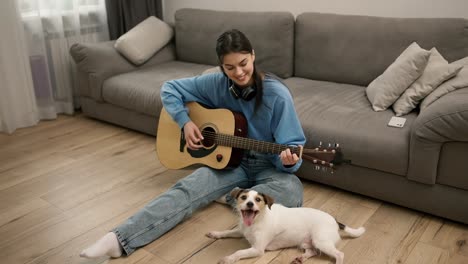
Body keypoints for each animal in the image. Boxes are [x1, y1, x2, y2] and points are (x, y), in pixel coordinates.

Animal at [207, 189, 366, 262]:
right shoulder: (241, 231)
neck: (257, 220)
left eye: (258, 199)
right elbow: (227, 232)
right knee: (313, 252)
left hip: (321, 241)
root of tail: (334, 220)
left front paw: (228, 259)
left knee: (339, 254)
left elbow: (239, 252)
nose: (250, 204)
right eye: (244, 197)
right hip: (306, 243)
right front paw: (215, 234)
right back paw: (301, 258)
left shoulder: (257, 249)